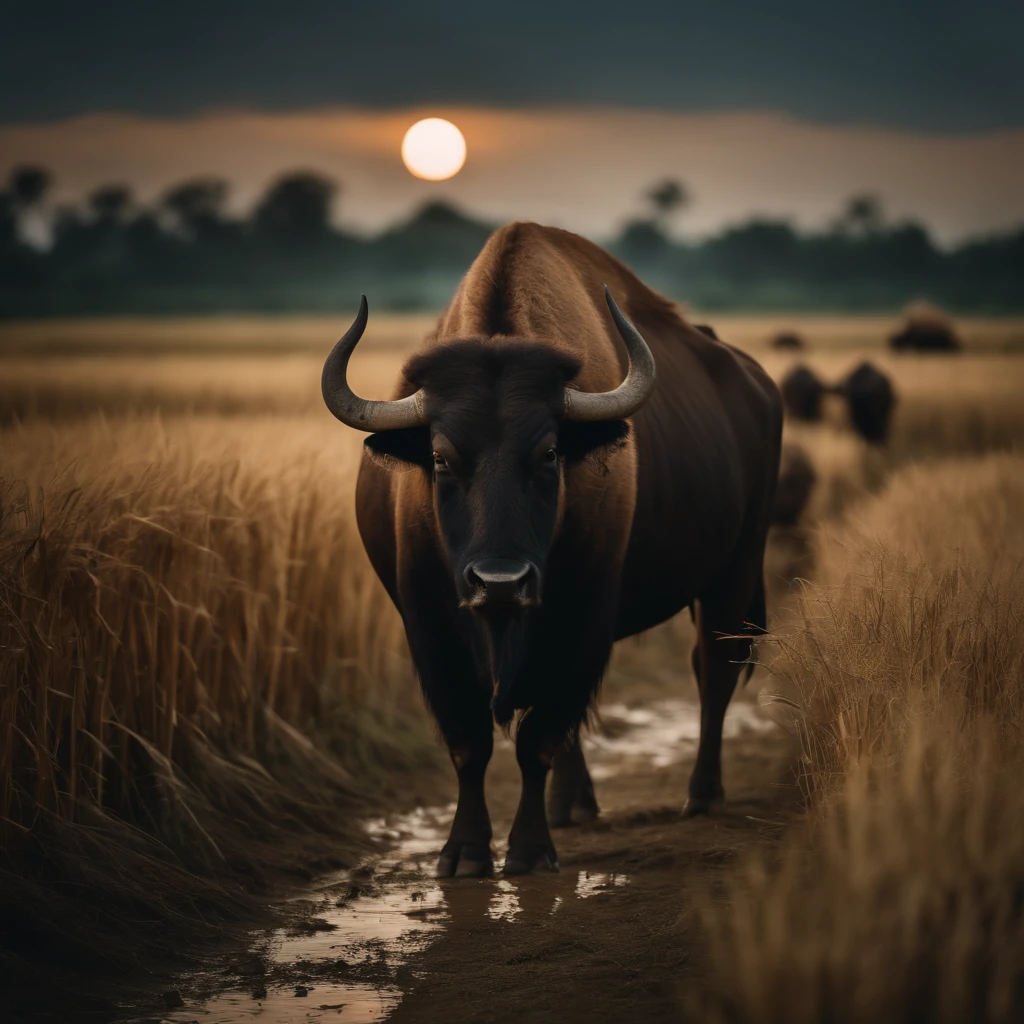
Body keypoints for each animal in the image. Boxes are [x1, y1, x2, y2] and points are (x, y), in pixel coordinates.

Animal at [323, 222, 778, 872]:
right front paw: (464, 853)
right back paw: (574, 805)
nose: (500, 581)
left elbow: (537, 739)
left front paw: (531, 849)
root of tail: (756, 385)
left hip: (735, 568)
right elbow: (470, 742)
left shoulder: (582, 616)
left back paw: (702, 795)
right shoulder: (428, 623)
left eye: (549, 453)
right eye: (440, 457)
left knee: (713, 668)